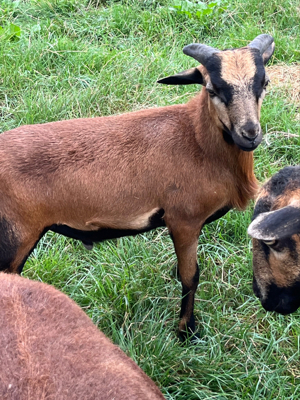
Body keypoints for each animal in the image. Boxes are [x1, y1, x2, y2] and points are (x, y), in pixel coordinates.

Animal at [0, 34, 274, 336]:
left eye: (264, 83)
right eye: (212, 88)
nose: (249, 134)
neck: (197, 140)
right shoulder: (183, 219)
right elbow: (190, 277)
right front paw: (186, 332)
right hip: (16, 236)